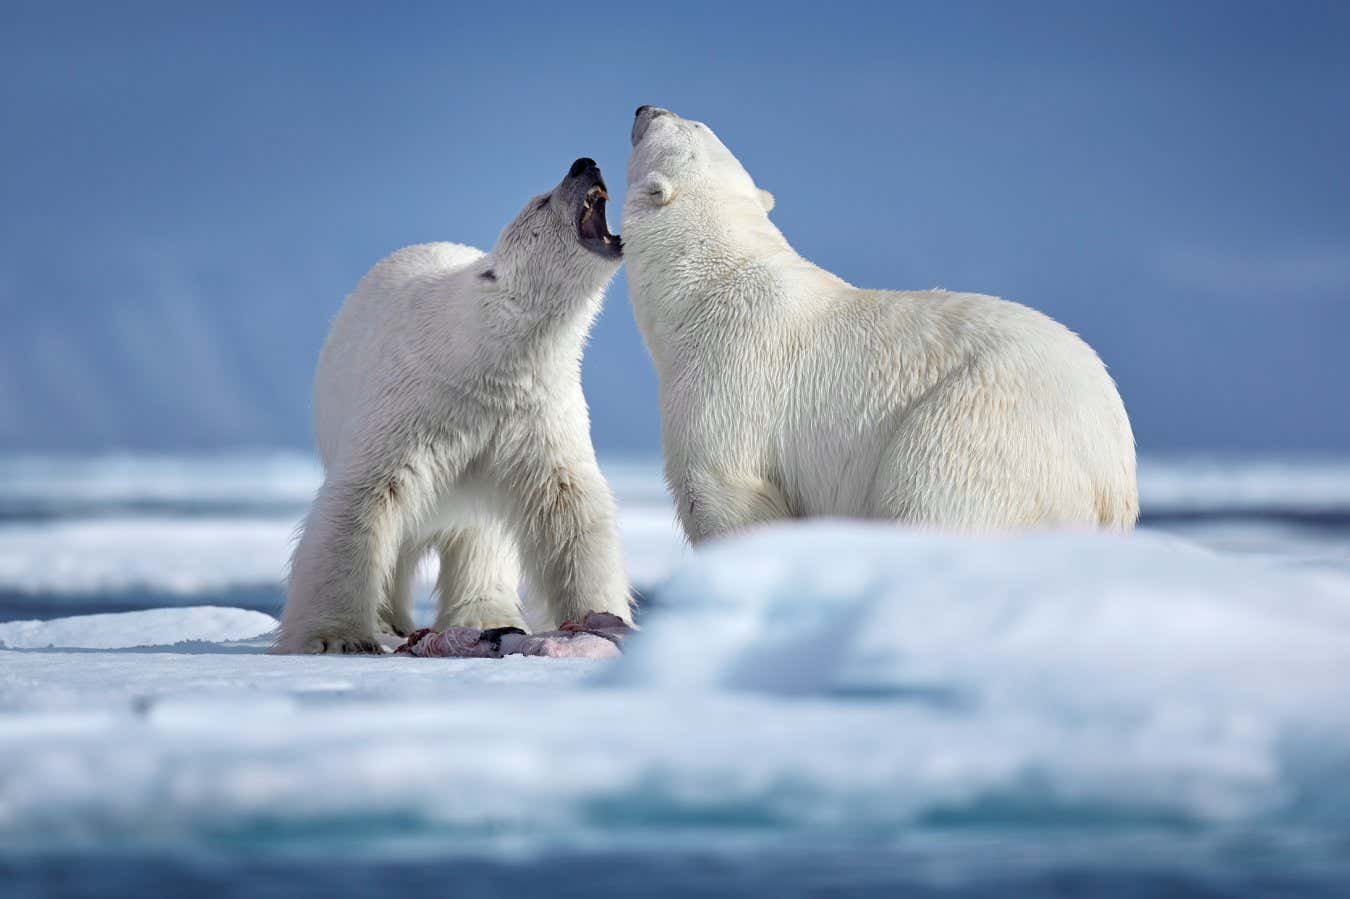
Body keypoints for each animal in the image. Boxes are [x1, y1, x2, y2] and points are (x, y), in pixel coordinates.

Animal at [278, 157, 631, 650]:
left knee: (478, 536)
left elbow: (568, 506)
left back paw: (483, 616)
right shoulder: (417, 402)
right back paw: (391, 619)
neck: (484, 353)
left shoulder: (536, 412)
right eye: (542, 201)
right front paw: (337, 637)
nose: (585, 163)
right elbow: (364, 498)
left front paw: (600, 618)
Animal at [621, 105, 1139, 539]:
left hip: (980, 427)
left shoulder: (729, 377)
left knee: (930, 497)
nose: (645, 107)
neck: (709, 281)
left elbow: (723, 494)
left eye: (673, 123)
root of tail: (1113, 477)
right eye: (696, 121)